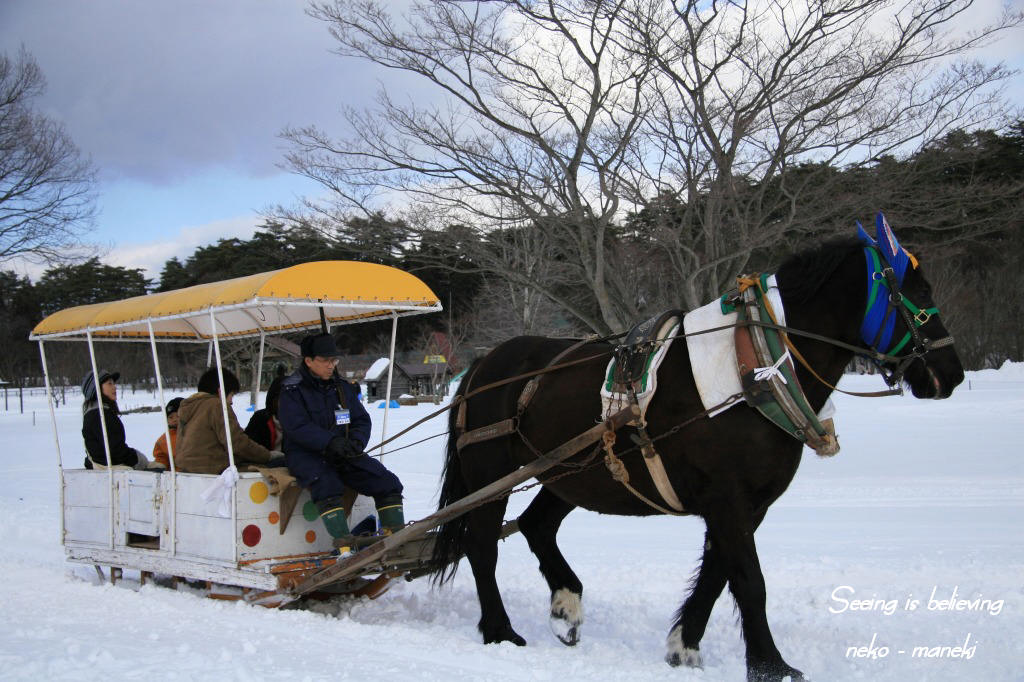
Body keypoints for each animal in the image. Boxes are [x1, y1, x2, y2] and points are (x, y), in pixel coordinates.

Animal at [428, 219, 962, 679]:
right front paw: (770, 665)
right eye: (917, 292)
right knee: (481, 544)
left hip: (571, 472)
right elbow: (749, 580)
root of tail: (482, 365)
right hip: (490, 474)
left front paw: (684, 645)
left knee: (537, 526)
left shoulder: (747, 503)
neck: (755, 366)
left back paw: (567, 604)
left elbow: (717, 573)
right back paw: (499, 630)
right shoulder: (727, 497)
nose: (951, 373)